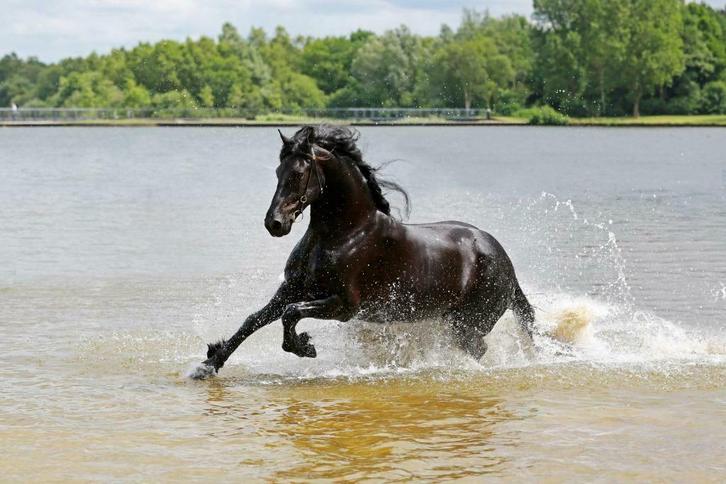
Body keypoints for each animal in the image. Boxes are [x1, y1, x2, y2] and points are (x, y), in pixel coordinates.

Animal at [191, 125, 535, 379]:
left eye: (299, 173)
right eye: (278, 172)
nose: (274, 223)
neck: (344, 235)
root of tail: (507, 264)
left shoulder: (345, 305)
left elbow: (291, 314)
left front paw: (304, 347)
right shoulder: (293, 288)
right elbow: (254, 320)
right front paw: (209, 364)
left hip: (468, 324)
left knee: (478, 350)